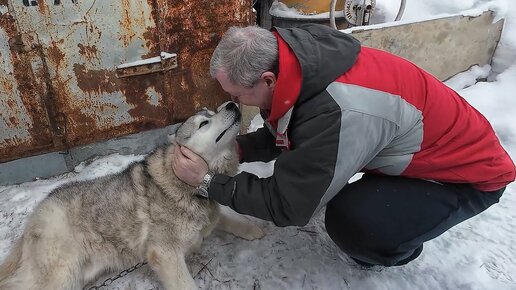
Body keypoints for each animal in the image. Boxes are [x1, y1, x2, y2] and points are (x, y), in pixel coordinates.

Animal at [0, 101, 264, 290]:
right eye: (203, 123)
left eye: (214, 110)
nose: (231, 104)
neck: (184, 184)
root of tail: (36, 215)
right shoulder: (165, 254)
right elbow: (186, 284)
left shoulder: (210, 215)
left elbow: (229, 218)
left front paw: (253, 229)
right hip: (62, 272)